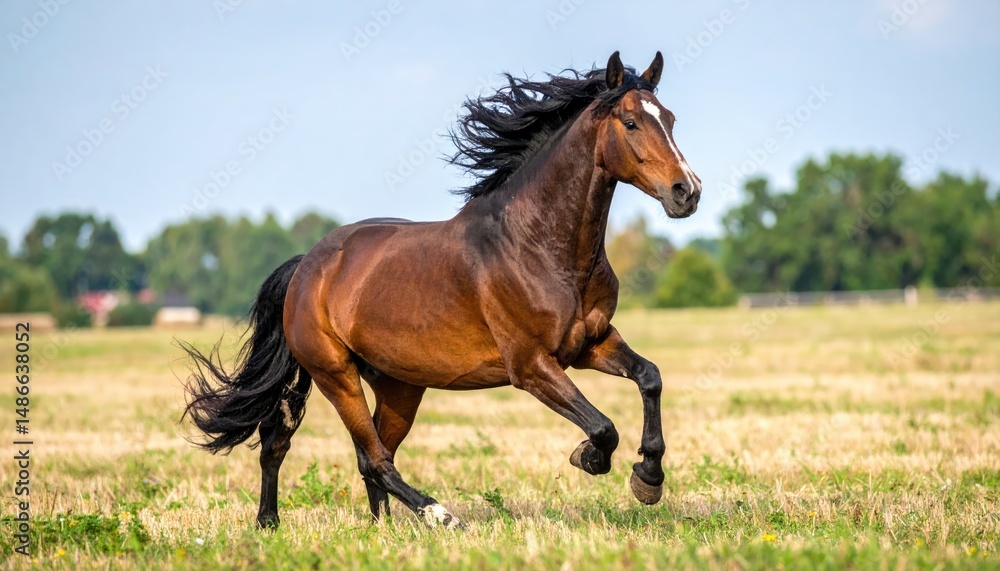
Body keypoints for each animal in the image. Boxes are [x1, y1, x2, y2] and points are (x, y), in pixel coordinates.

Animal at [182, 51, 702, 530]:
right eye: (631, 122)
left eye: (671, 119)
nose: (687, 192)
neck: (539, 245)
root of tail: (306, 266)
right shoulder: (530, 365)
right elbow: (602, 426)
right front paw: (590, 458)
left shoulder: (590, 343)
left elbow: (650, 377)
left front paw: (648, 479)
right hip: (332, 374)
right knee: (355, 455)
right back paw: (434, 516)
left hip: (398, 386)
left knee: (352, 452)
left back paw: (370, 527)